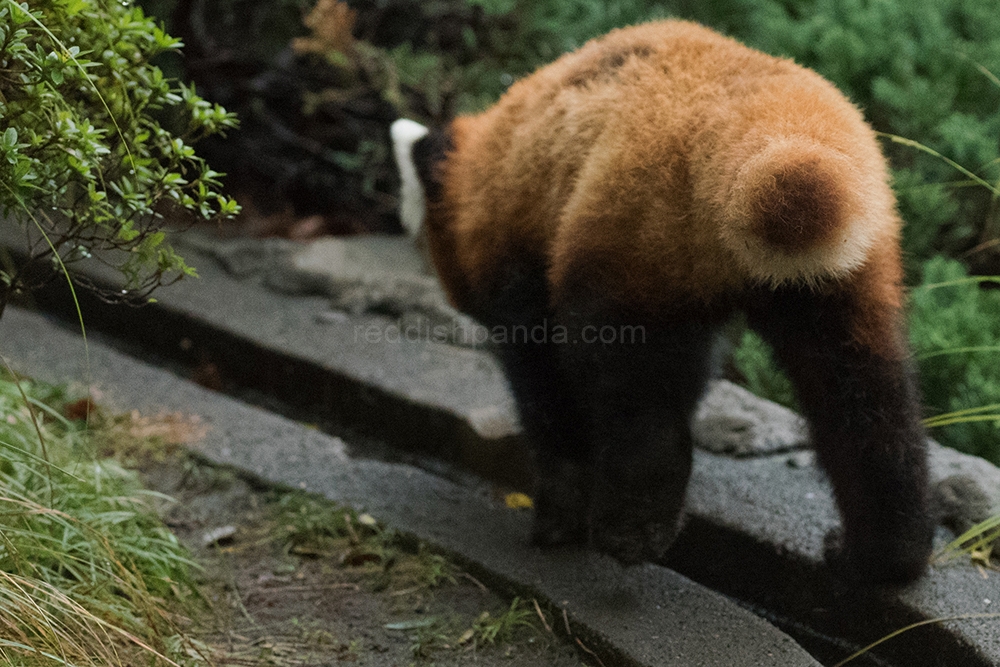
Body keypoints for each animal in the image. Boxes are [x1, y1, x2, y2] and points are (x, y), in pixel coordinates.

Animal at [390, 19, 928, 584]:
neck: (500, 150)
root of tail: (771, 121)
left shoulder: (525, 263)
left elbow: (547, 388)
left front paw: (557, 514)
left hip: (638, 228)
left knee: (632, 386)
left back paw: (632, 529)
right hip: (844, 261)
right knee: (863, 394)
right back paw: (882, 554)